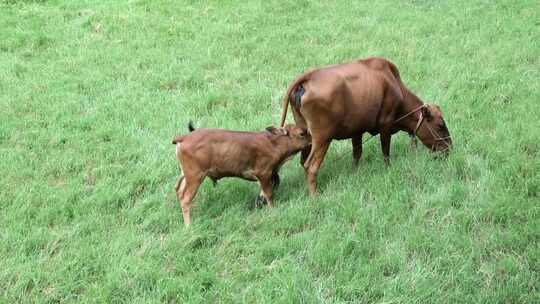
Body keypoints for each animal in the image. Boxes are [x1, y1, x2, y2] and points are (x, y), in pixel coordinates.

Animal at [171, 122, 310, 224]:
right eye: (302, 133)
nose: (311, 141)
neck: (273, 144)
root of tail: (184, 137)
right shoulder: (263, 173)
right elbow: (269, 194)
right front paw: (273, 211)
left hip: (186, 175)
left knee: (178, 189)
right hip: (195, 176)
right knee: (185, 198)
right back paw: (189, 225)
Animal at [278, 56, 452, 196]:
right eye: (440, 125)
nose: (449, 148)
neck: (395, 86)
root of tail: (309, 76)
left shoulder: (357, 131)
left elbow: (357, 154)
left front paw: (355, 173)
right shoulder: (386, 125)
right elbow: (385, 151)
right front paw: (388, 169)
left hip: (305, 134)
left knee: (303, 162)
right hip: (322, 138)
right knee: (311, 166)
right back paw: (315, 196)